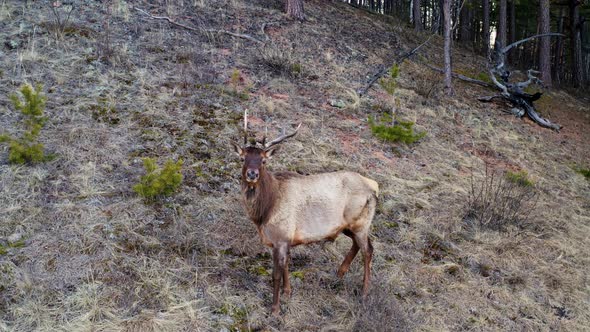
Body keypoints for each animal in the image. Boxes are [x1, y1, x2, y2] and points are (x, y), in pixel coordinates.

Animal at [231, 111, 380, 314]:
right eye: (242, 158)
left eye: (263, 160)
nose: (252, 174)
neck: (264, 212)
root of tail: (374, 187)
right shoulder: (283, 240)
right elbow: (287, 265)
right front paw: (287, 292)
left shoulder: (281, 237)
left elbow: (276, 274)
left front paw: (275, 309)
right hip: (349, 226)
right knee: (358, 245)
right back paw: (340, 273)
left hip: (361, 223)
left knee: (368, 250)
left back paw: (364, 293)